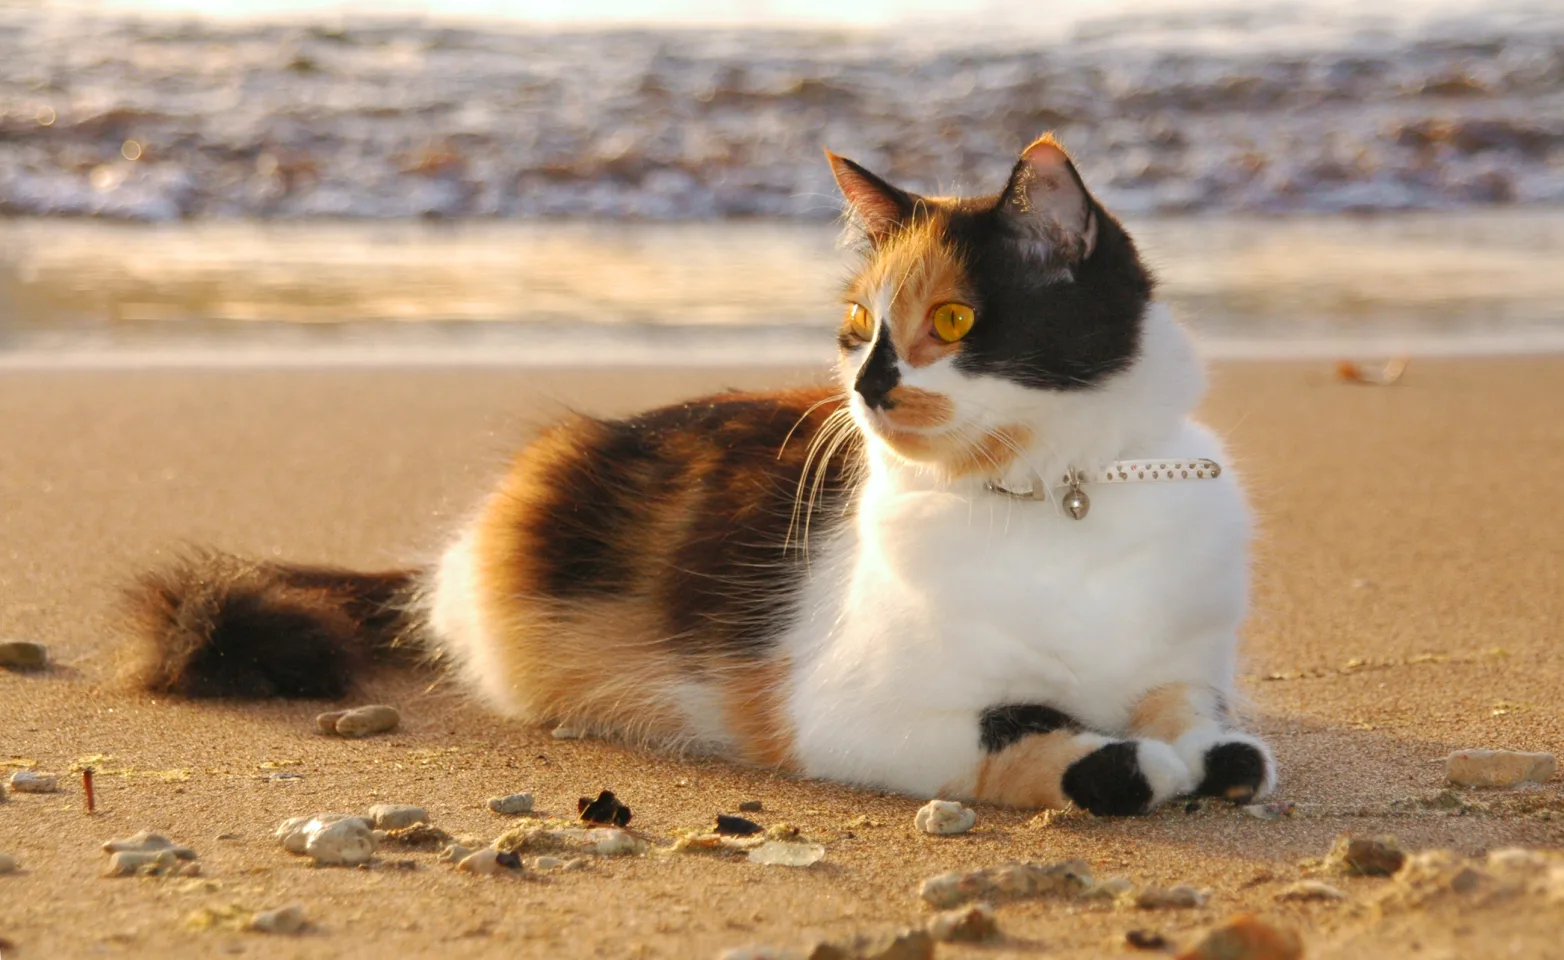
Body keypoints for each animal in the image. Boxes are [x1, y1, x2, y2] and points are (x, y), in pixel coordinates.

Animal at [131, 135, 1269, 819]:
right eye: (857, 323)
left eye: (953, 320)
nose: (869, 382)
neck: (1060, 497)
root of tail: (451, 556)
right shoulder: (853, 713)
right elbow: (1048, 738)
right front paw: (1142, 764)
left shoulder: (1186, 660)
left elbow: (1214, 727)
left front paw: (1210, 754)